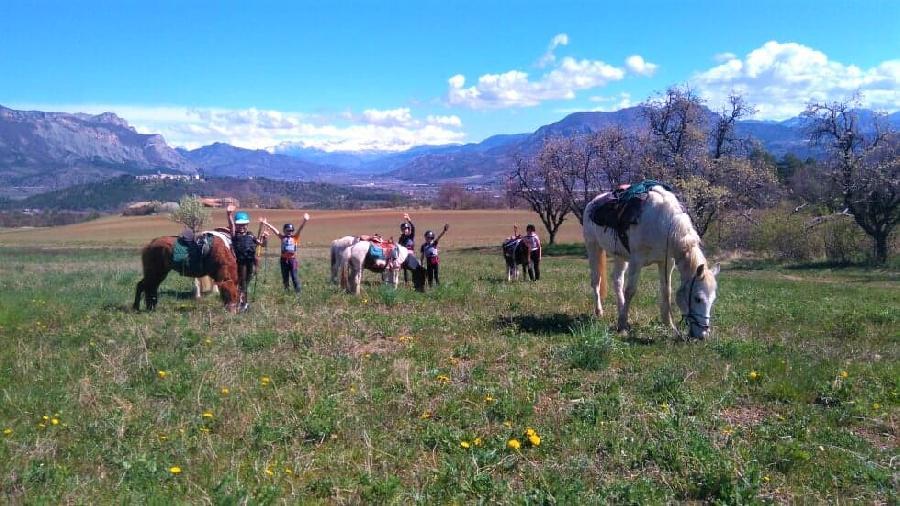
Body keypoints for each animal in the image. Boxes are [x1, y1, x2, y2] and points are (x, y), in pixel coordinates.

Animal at [580, 184, 720, 338]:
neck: (662, 224)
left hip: (620, 256)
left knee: (617, 280)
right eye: (697, 298)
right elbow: (630, 291)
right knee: (596, 281)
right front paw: (622, 326)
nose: (703, 334)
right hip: (593, 247)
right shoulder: (636, 261)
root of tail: (592, 203)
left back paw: (621, 310)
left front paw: (670, 325)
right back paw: (599, 311)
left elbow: (666, 292)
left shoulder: (666, 263)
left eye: (713, 299)